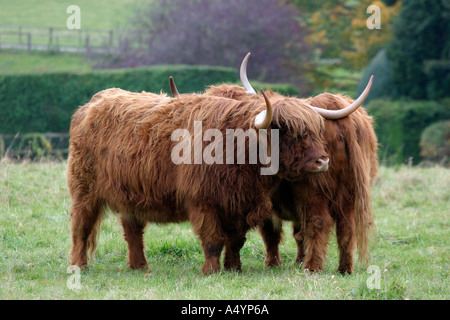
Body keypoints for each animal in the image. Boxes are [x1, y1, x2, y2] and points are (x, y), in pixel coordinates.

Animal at [67, 85, 328, 276]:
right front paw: (211, 271)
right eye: (290, 132)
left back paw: (140, 266)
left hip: (131, 196)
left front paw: (233, 268)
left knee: (133, 231)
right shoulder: (203, 201)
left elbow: (236, 240)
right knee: (81, 226)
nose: (323, 161)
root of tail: (92, 103)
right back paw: (79, 266)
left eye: (317, 131)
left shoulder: (239, 203)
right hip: (84, 190)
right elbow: (213, 240)